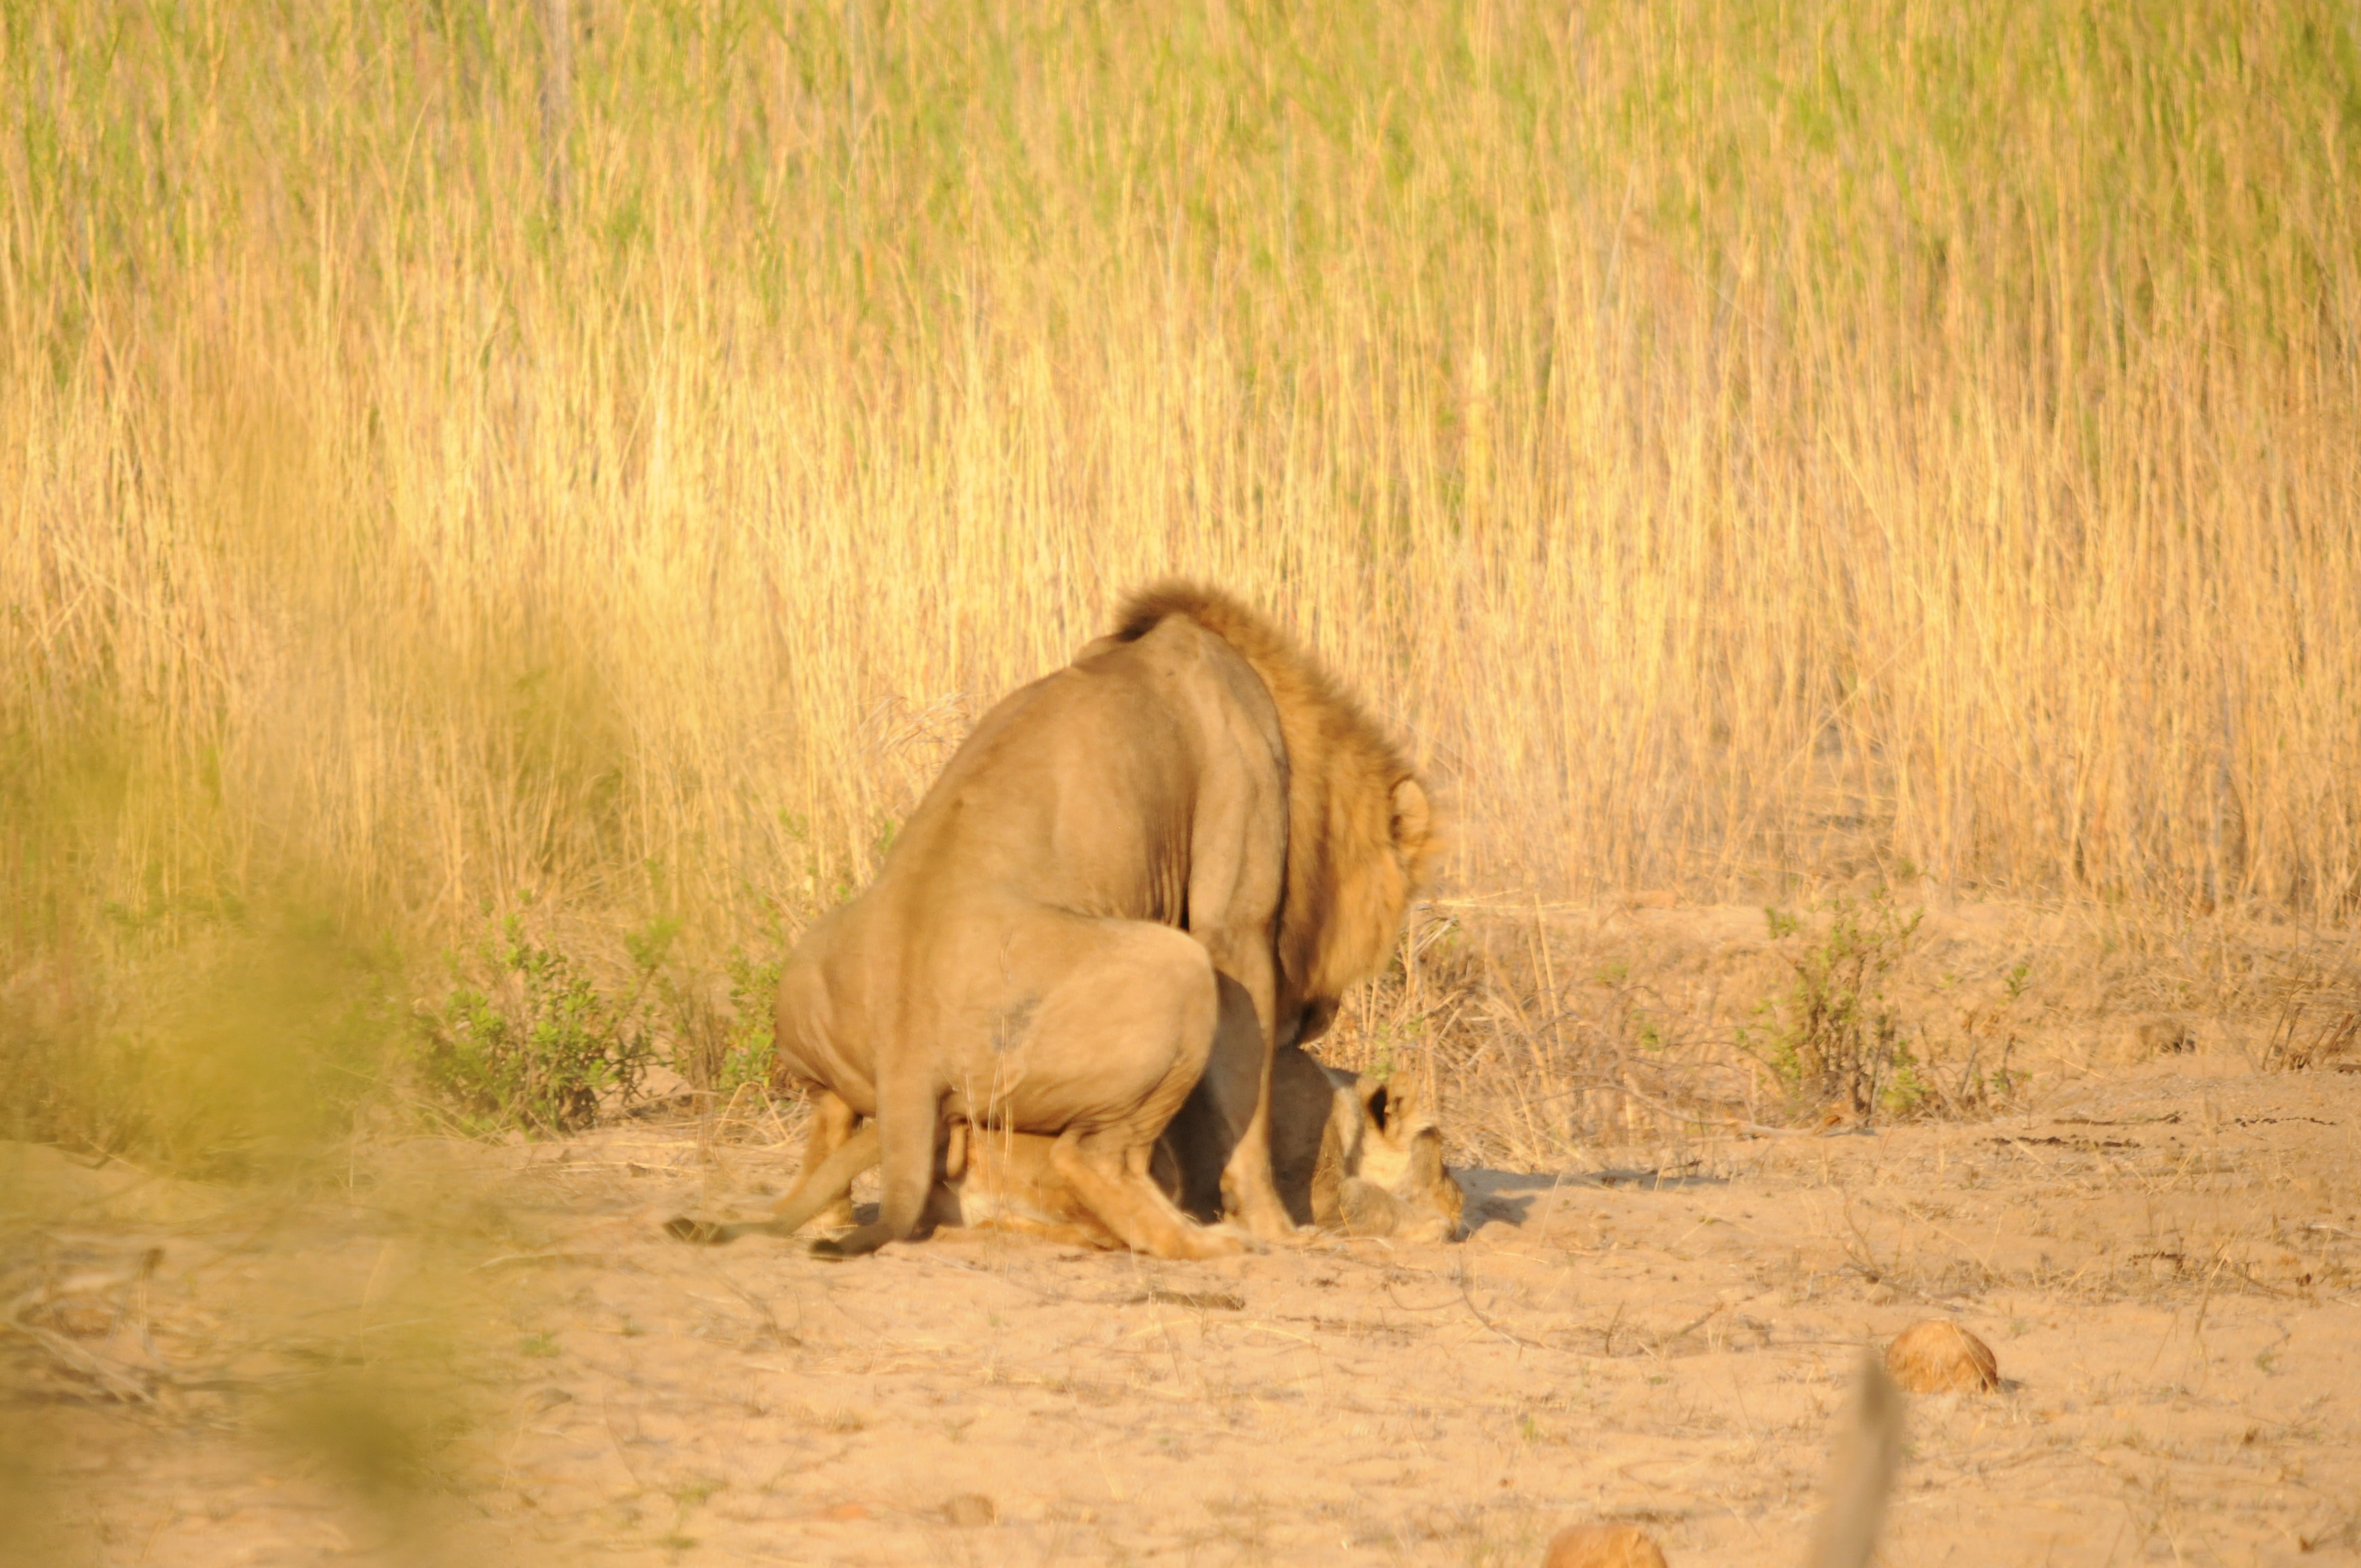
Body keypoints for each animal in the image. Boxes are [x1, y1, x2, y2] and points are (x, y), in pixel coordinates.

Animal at [759, 582, 1436, 1259]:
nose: (1323, 1016)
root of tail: (906, 1056)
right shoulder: (1234, 920)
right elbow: (1247, 1101)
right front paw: (1275, 1228)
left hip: (812, 967)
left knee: (829, 1113)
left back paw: (826, 1217)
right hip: (1178, 968)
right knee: (1090, 1158)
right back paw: (1209, 1243)